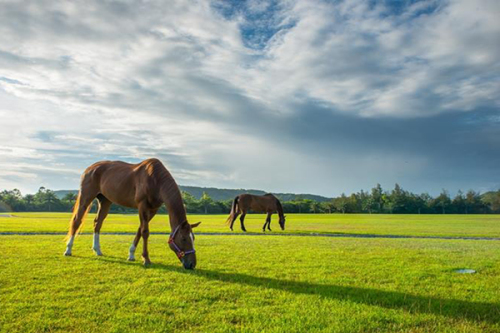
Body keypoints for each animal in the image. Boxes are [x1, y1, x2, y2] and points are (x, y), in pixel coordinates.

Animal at [63, 158, 200, 270]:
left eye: (193, 238)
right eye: (183, 238)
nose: (192, 264)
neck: (155, 180)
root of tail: (89, 169)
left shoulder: (152, 209)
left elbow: (140, 230)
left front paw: (131, 254)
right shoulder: (142, 205)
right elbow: (145, 231)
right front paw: (146, 259)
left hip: (105, 201)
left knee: (98, 223)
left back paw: (97, 250)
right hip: (86, 197)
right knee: (77, 220)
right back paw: (68, 249)